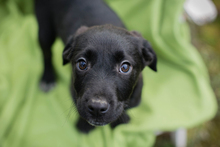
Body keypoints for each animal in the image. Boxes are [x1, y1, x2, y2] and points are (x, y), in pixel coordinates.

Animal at [34, 0, 156, 133]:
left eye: (125, 67)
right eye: (82, 64)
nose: (97, 107)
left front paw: (120, 122)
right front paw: (84, 124)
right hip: (45, 28)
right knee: (46, 54)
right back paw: (47, 78)